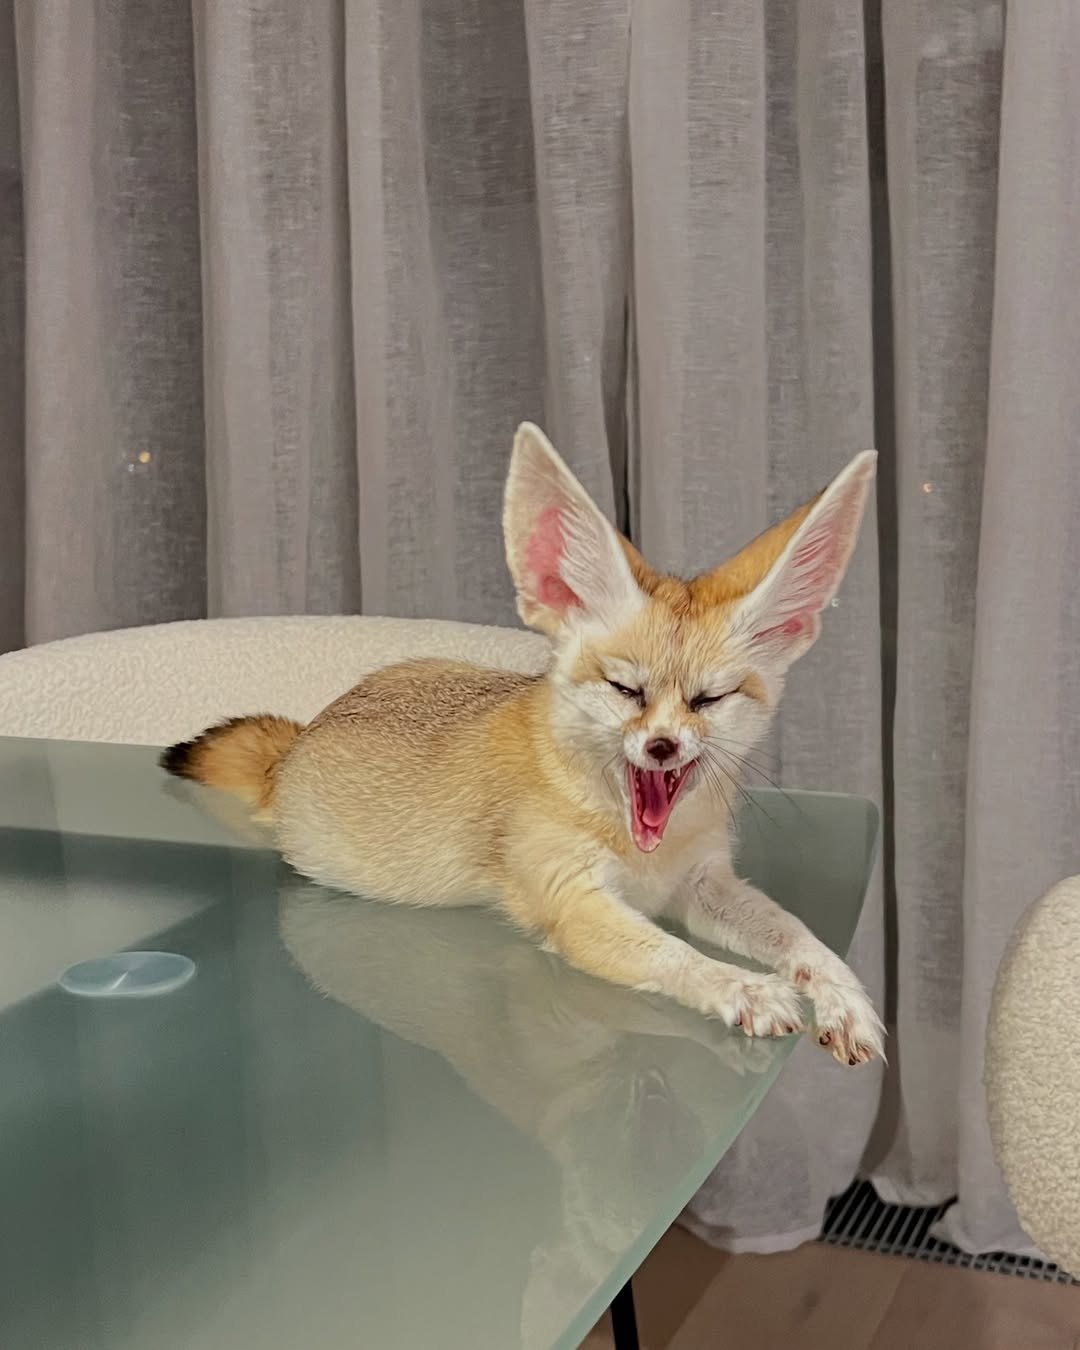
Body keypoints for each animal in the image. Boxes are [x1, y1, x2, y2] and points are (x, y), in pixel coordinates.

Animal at [163, 422, 884, 1065]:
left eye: (709, 700)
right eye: (625, 689)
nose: (662, 747)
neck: (644, 855)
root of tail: (303, 736)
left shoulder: (702, 883)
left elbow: (799, 935)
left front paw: (843, 994)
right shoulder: (572, 899)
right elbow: (673, 954)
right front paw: (742, 987)